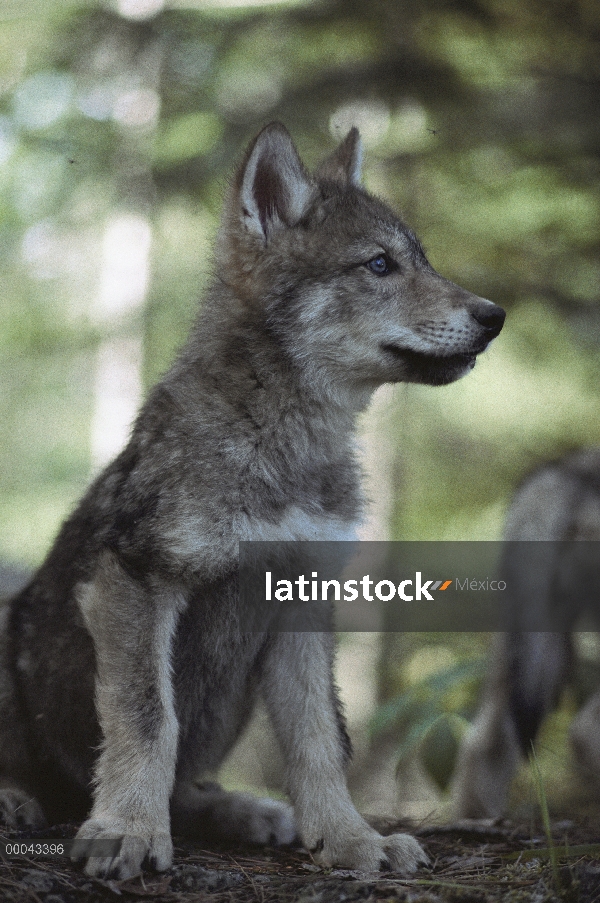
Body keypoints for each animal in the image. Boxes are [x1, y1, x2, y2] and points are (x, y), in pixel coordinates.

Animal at [0, 120, 504, 876]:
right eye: (379, 265)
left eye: (423, 261)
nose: (495, 315)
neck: (285, 444)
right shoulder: (133, 579)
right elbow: (150, 720)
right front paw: (128, 830)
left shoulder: (301, 599)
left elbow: (322, 740)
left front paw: (350, 839)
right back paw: (17, 797)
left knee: (192, 784)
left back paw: (245, 811)